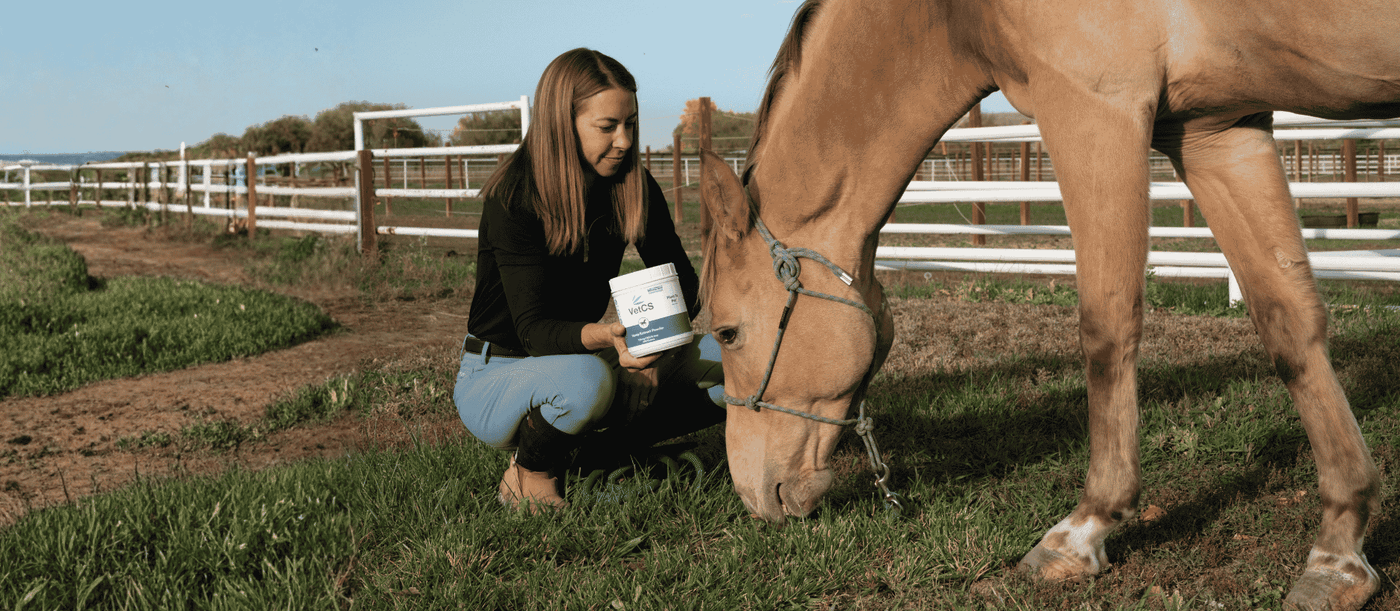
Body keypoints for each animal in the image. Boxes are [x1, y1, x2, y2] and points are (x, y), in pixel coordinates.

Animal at [697, 1, 1395, 608]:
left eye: (727, 333)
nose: (753, 495)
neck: (956, 12)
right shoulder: (1215, 128)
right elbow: (1289, 327)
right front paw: (1339, 551)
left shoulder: (1094, 108)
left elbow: (1107, 328)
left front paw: (1084, 529)